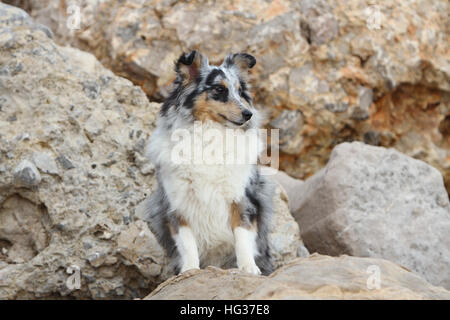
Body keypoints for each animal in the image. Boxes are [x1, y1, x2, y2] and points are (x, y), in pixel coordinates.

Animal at [142, 50, 274, 276]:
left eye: (240, 91)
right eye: (219, 89)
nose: (248, 114)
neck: (210, 135)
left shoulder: (242, 198)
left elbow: (242, 236)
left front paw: (248, 268)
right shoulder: (177, 204)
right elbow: (187, 243)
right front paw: (189, 271)